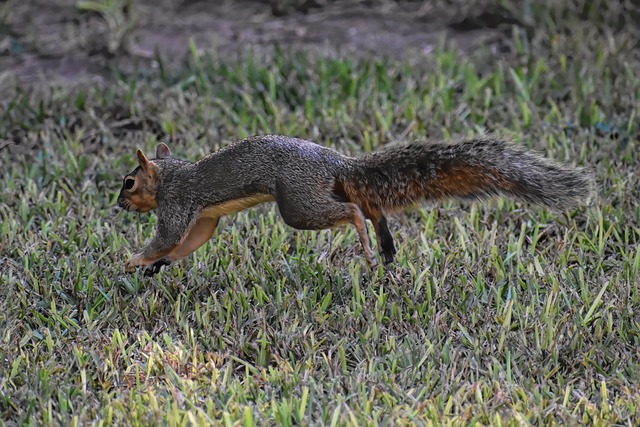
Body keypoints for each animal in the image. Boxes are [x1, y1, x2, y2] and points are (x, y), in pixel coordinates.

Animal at [117, 135, 596, 278]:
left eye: (129, 182)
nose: (119, 204)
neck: (172, 174)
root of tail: (336, 162)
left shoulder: (179, 203)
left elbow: (166, 236)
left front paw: (132, 260)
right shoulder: (202, 218)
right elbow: (189, 241)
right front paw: (156, 265)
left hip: (297, 203)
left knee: (353, 211)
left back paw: (368, 243)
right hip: (314, 193)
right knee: (368, 204)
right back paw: (385, 246)